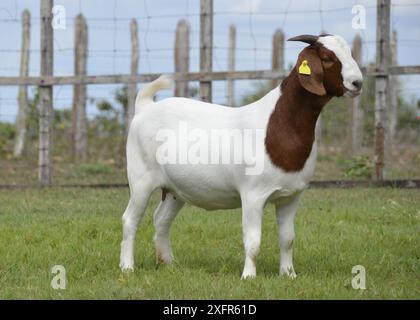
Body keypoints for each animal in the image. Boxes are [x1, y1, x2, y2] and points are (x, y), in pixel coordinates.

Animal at [120, 33, 362, 278]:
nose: (357, 83)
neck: (279, 125)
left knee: (161, 219)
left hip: (175, 189)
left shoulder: (291, 197)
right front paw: (249, 276)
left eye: (349, 52)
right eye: (327, 57)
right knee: (130, 219)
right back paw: (127, 267)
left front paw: (288, 275)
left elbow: (288, 239)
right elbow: (253, 242)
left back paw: (168, 263)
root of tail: (145, 107)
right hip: (140, 178)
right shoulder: (253, 195)